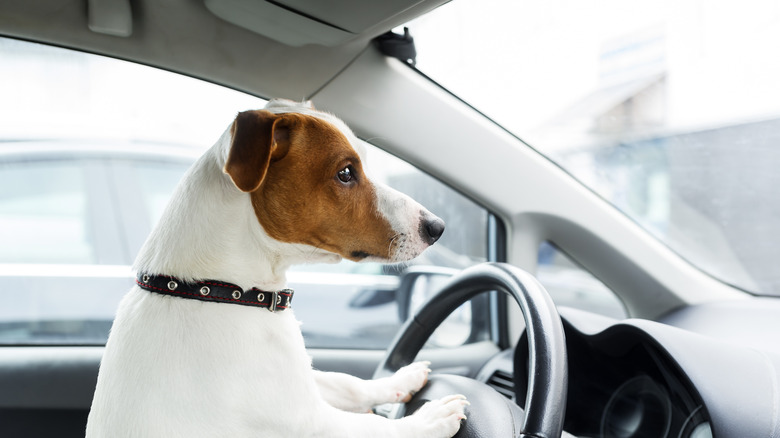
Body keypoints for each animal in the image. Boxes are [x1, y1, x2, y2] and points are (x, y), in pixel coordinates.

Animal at [88, 100, 470, 438]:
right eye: (346, 172)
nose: (437, 227)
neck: (217, 290)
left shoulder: (301, 383)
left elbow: (346, 382)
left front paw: (399, 380)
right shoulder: (309, 421)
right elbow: (378, 427)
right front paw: (430, 419)